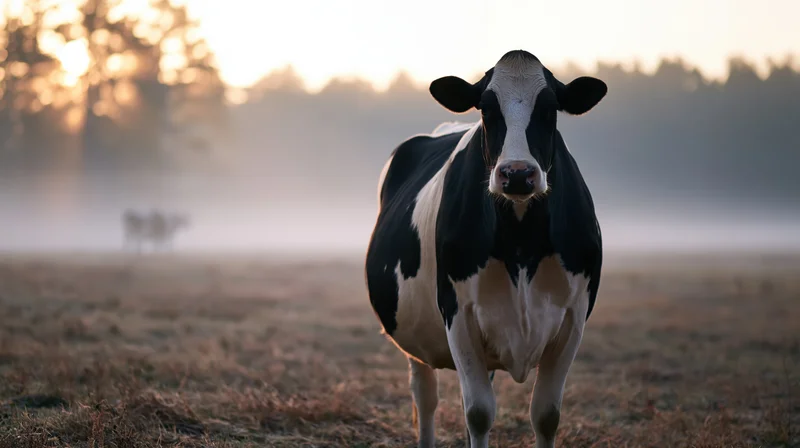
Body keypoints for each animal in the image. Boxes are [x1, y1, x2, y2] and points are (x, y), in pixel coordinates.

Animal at [365, 50, 606, 448]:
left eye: (550, 109)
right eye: (486, 109)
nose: (518, 173)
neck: (521, 240)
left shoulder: (574, 314)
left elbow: (546, 415)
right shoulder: (458, 313)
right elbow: (478, 413)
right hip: (414, 335)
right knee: (425, 397)